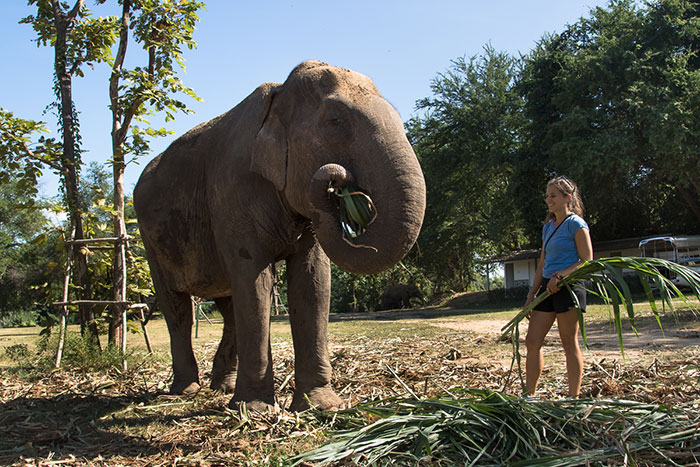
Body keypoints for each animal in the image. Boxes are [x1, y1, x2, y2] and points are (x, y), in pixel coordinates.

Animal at [133, 59, 426, 414]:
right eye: (335, 121)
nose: (337, 180)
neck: (280, 93)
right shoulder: (232, 189)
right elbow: (255, 280)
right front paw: (255, 409)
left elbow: (313, 281)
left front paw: (319, 407)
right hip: (149, 239)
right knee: (177, 307)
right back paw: (185, 391)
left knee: (228, 306)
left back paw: (222, 387)